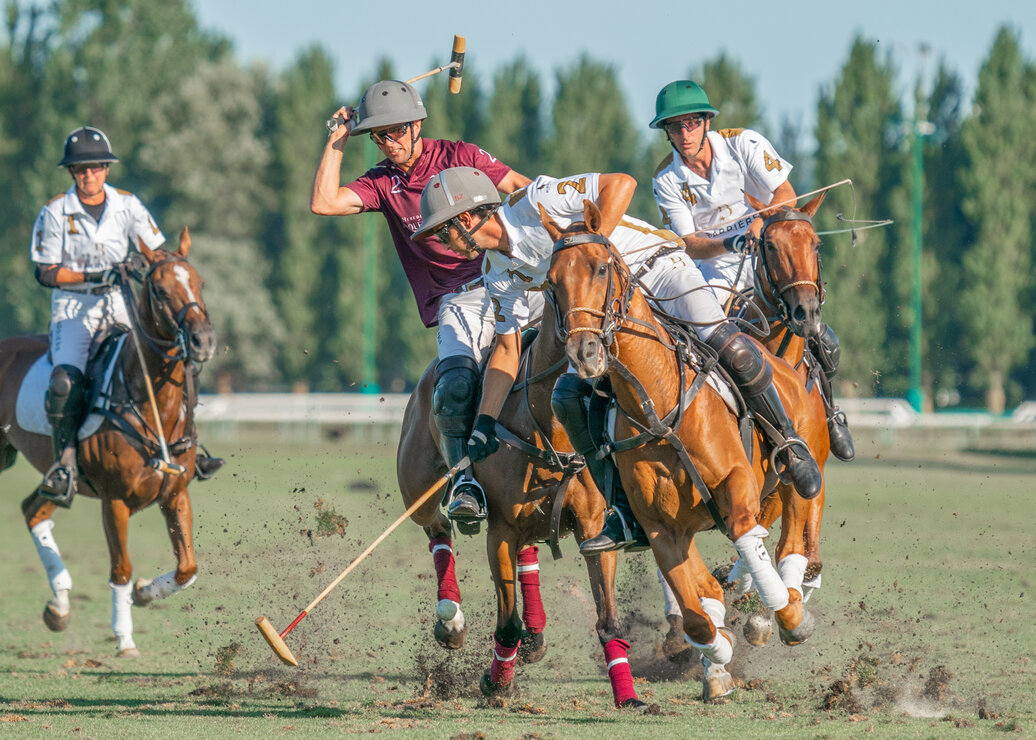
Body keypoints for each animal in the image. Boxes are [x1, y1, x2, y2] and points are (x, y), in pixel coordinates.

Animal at [0, 228, 213, 655]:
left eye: (199, 282)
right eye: (159, 289)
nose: (202, 340)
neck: (152, 404)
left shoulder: (175, 493)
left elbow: (188, 568)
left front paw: (145, 593)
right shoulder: (114, 500)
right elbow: (121, 569)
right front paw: (125, 637)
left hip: (57, 480)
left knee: (33, 508)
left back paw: (60, 605)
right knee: (63, 385)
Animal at [395, 296, 654, 708]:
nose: (595, 354)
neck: (551, 426)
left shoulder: (594, 528)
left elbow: (608, 619)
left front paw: (628, 697)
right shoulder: (500, 531)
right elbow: (506, 624)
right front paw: (497, 684)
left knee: (525, 553)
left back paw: (532, 634)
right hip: (417, 488)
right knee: (438, 526)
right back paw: (451, 620)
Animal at [542, 200, 824, 696]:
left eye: (600, 267)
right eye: (551, 282)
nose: (585, 351)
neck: (658, 404)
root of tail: (783, 362)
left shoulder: (738, 487)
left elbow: (748, 539)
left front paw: (784, 616)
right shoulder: (661, 529)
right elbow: (696, 613)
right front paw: (718, 658)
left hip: (796, 478)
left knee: (796, 537)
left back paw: (787, 600)